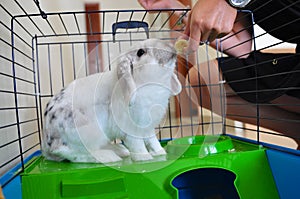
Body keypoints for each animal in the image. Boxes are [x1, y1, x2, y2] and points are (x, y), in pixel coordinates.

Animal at [41, 38, 183, 163]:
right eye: (140, 52)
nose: (172, 49)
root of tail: (47, 142)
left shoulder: (147, 127)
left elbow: (153, 141)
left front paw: (160, 153)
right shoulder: (131, 128)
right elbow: (137, 144)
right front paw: (145, 158)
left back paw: (120, 150)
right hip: (82, 132)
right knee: (70, 152)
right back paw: (108, 157)